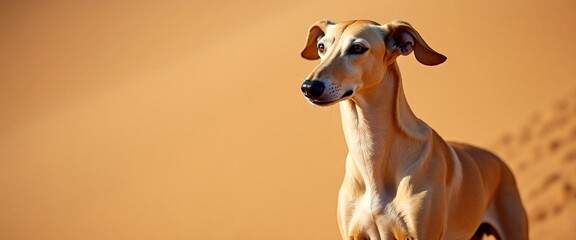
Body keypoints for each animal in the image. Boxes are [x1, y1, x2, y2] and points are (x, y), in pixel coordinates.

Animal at [300, 19, 528, 239]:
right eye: (321, 47)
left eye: (357, 48)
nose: (309, 87)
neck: (370, 156)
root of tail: (499, 160)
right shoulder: (354, 235)